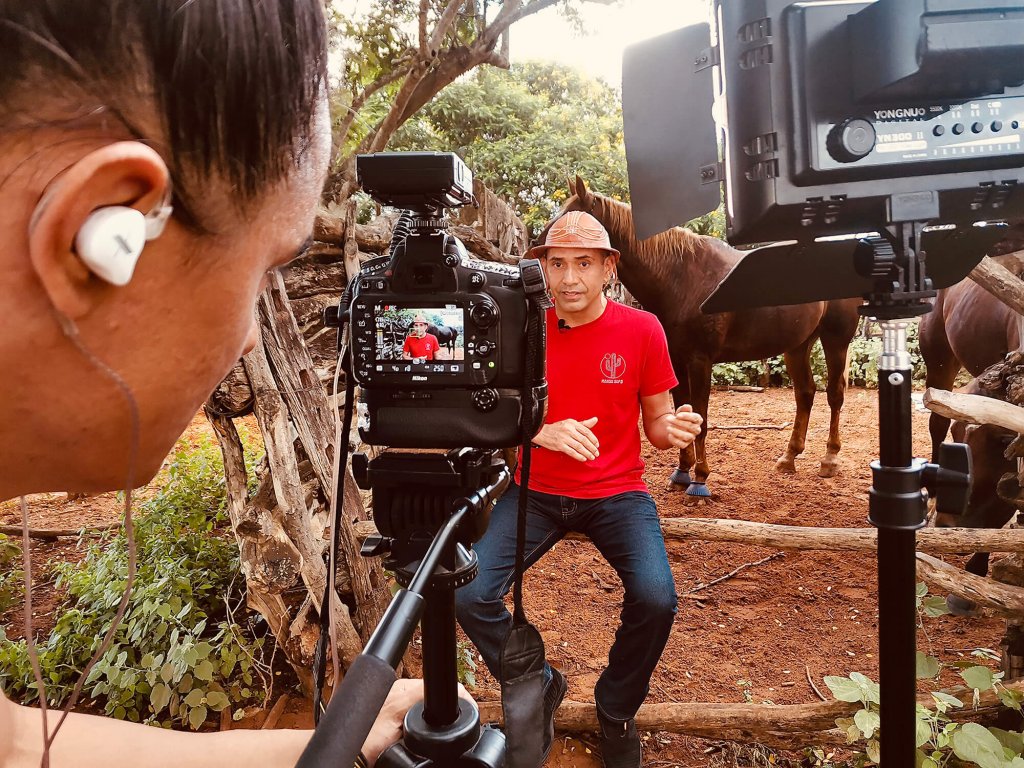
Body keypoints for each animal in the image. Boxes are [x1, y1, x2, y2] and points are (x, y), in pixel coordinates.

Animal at [548, 177, 860, 495]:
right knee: (805, 393)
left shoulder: (700, 361)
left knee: (834, 394)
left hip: (836, 339)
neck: (681, 278)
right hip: (798, 345)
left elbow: (701, 418)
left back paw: (829, 459)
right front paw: (681, 473)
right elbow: (682, 413)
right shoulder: (675, 361)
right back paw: (789, 457)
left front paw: (699, 479)